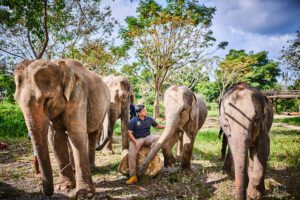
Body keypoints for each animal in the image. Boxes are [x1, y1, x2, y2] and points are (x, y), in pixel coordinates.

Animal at [13, 59, 110, 197]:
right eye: (16, 100)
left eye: (47, 100)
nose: (44, 192)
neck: (58, 65)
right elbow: (55, 137)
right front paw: (65, 187)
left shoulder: (78, 94)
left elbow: (76, 133)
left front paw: (84, 194)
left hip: (104, 108)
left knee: (93, 134)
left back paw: (92, 167)